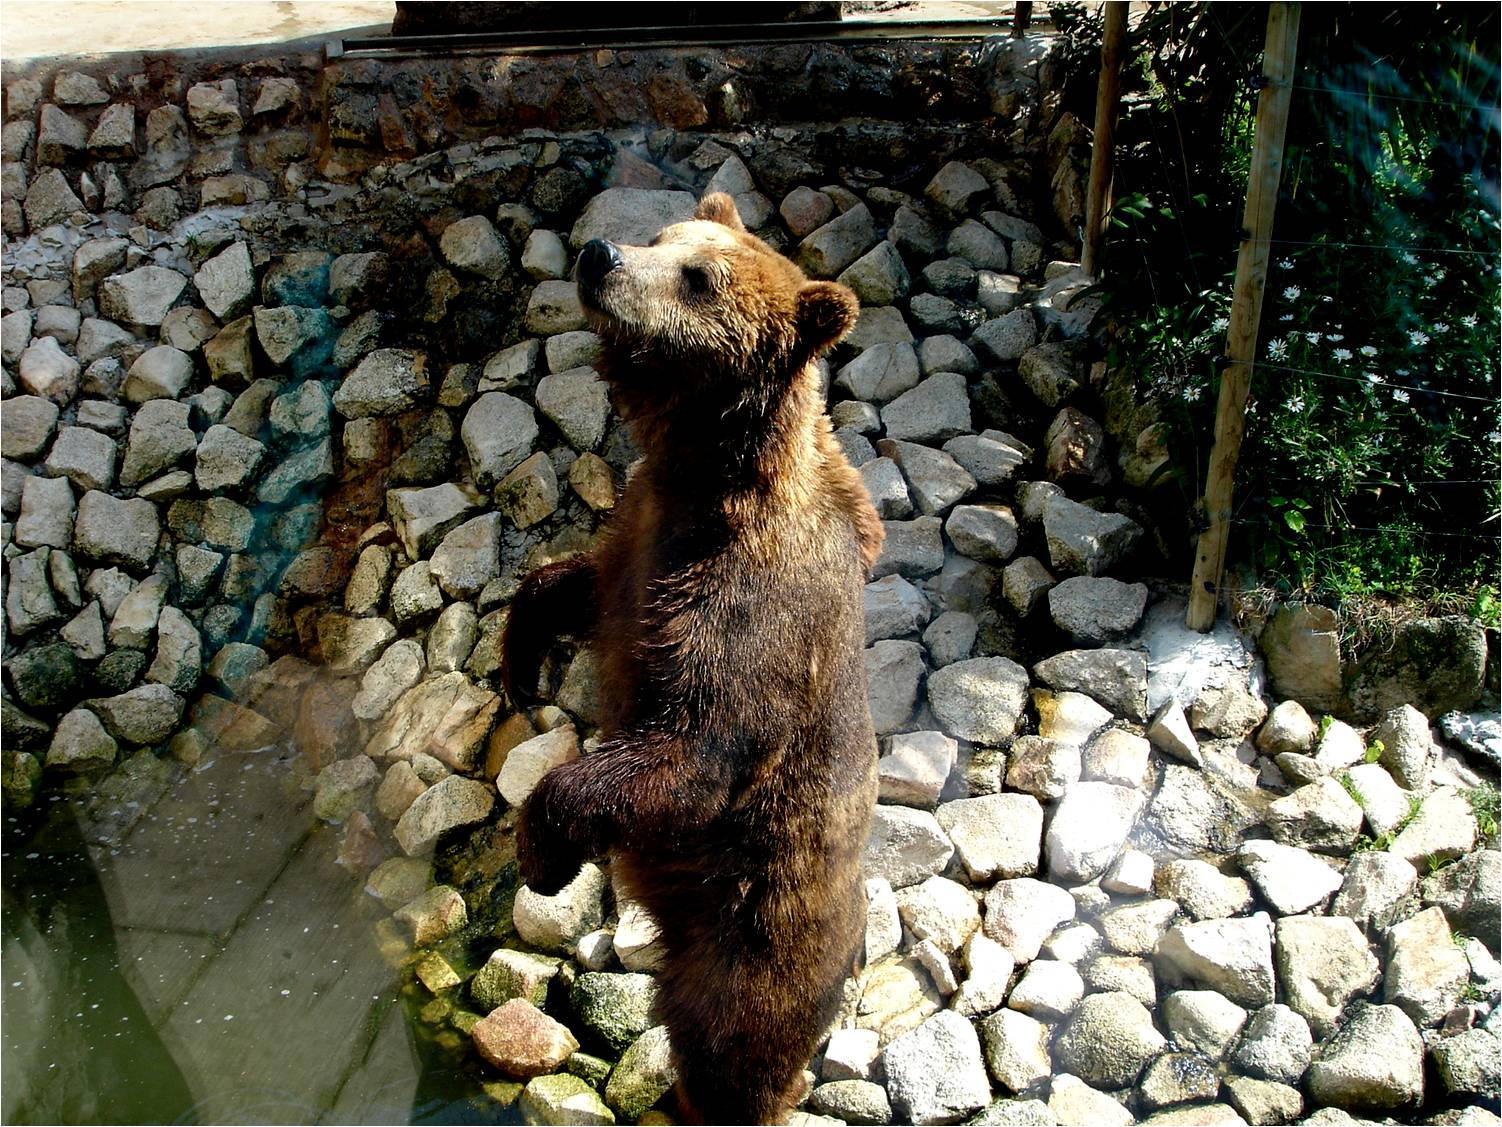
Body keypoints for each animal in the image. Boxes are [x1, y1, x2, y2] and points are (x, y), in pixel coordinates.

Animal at [500, 191, 883, 1125]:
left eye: (698, 277)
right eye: (662, 234)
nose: (599, 254)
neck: (707, 468)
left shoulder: (747, 609)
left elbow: (693, 754)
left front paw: (542, 851)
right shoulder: (641, 530)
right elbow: (579, 584)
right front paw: (519, 655)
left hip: (752, 936)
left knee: (729, 1053)